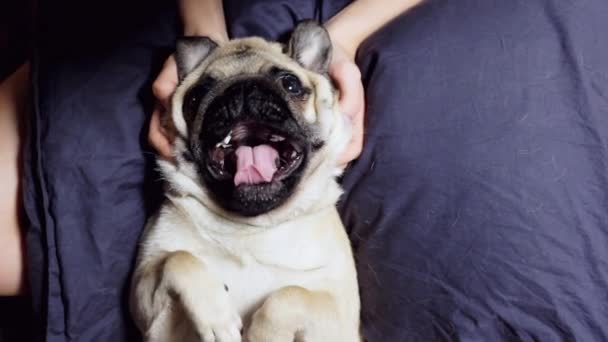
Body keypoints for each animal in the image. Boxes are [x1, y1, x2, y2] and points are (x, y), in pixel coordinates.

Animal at [130, 20, 358, 342]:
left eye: (290, 84)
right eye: (196, 96)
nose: (242, 88)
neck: (250, 228)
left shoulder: (339, 315)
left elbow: (290, 296)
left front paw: (262, 336)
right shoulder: (145, 295)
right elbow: (177, 259)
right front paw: (218, 318)